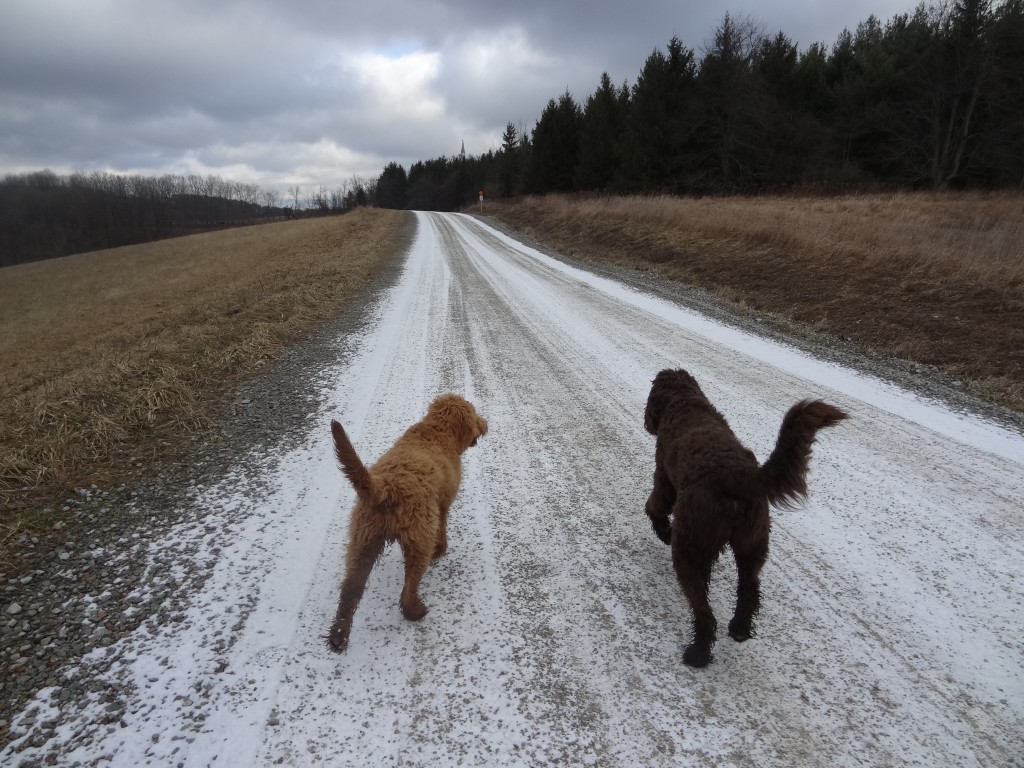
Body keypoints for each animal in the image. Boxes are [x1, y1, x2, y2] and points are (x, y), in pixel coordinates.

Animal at [327, 397, 487, 655]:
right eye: (474, 412)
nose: (486, 424)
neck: (436, 431)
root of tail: (384, 488)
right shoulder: (442, 505)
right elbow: (443, 527)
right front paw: (442, 549)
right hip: (419, 536)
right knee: (408, 587)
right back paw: (417, 611)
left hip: (363, 540)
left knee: (350, 589)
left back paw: (338, 637)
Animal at [638, 368, 847, 667]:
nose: (647, 422)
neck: (686, 403)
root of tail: (734, 476)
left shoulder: (664, 478)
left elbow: (654, 507)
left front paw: (664, 531)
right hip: (753, 543)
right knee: (749, 588)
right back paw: (740, 628)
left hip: (691, 548)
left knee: (703, 609)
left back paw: (698, 653)